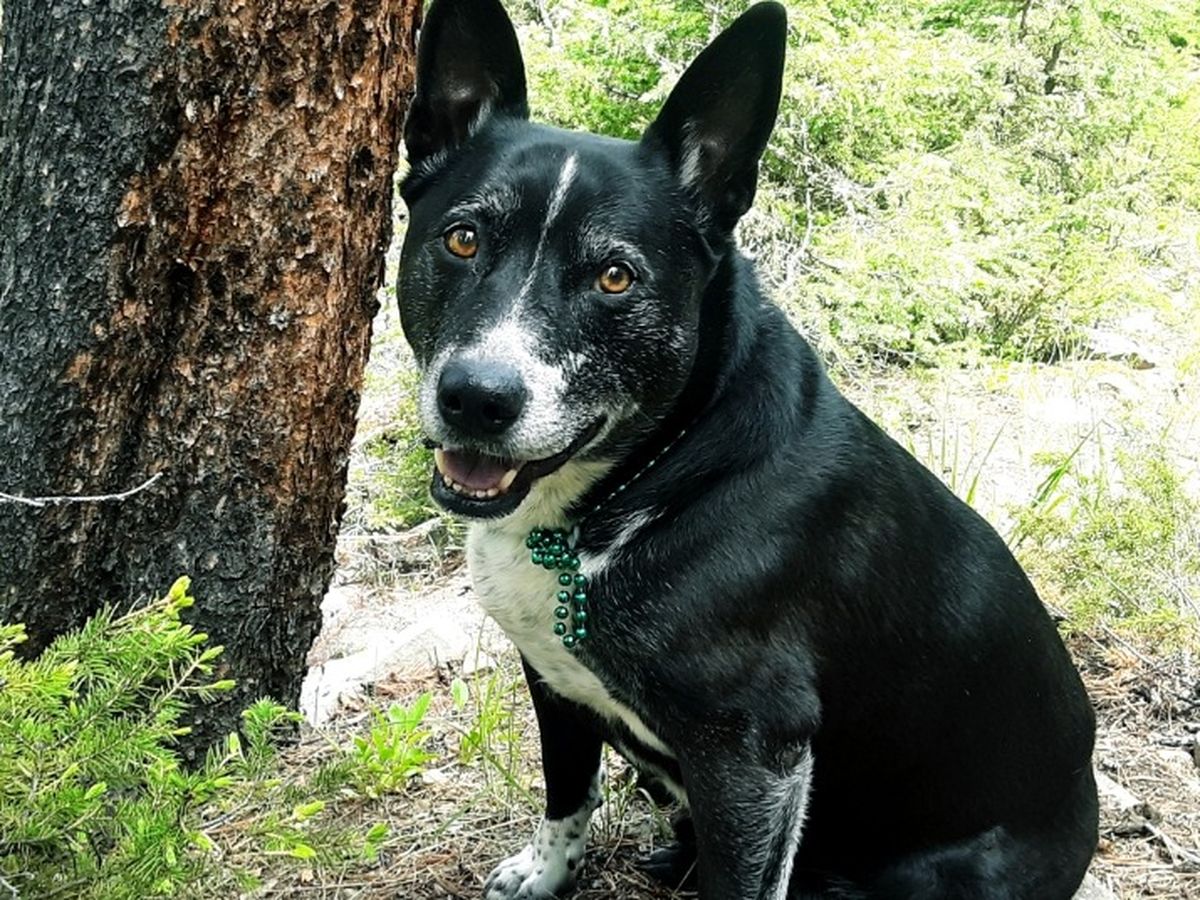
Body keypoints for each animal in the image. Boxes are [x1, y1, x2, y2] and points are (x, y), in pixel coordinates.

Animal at [396, 1, 1099, 897]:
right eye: (462, 239)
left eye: (616, 277)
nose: (478, 398)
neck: (649, 477)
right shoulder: (554, 680)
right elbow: (568, 787)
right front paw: (547, 872)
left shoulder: (751, 758)